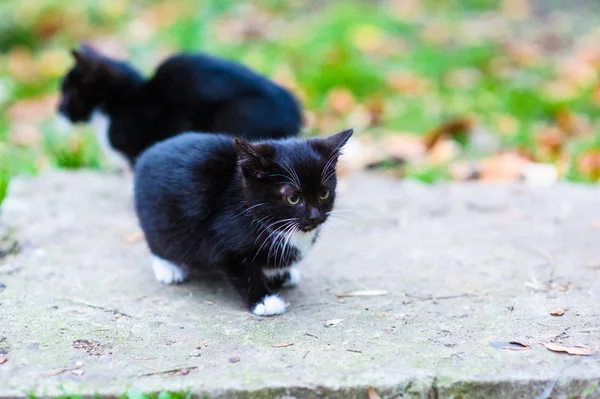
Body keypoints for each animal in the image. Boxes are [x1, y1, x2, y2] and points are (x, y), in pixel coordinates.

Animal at [134, 128, 354, 316]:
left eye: (324, 193)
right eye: (293, 198)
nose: (315, 216)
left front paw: (280, 273)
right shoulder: (225, 242)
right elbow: (245, 273)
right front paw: (264, 300)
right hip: (161, 220)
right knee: (160, 242)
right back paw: (168, 268)